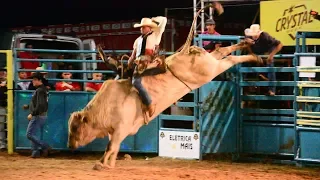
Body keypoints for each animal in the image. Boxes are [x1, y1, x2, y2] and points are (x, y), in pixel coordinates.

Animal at [66, 3, 262, 170]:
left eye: (75, 128)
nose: (70, 145)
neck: (106, 106)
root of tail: (185, 51)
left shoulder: (121, 128)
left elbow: (110, 147)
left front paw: (102, 164)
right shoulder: (115, 131)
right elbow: (113, 148)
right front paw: (107, 164)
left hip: (211, 70)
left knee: (229, 60)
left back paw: (254, 56)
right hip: (210, 61)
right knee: (222, 51)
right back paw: (247, 45)